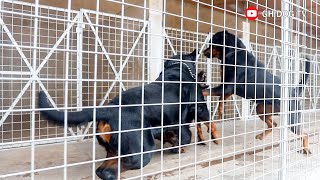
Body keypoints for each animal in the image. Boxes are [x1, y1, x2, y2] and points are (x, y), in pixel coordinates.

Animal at [37, 48, 218, 179]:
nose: (204, 74)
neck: (177, 69)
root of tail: (109, 109)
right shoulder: (200, 108)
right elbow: (201, 126)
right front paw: (212, 139)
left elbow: (174, 135)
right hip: (141, 151)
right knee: (110, 170)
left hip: (115, 150)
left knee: (103, 170)